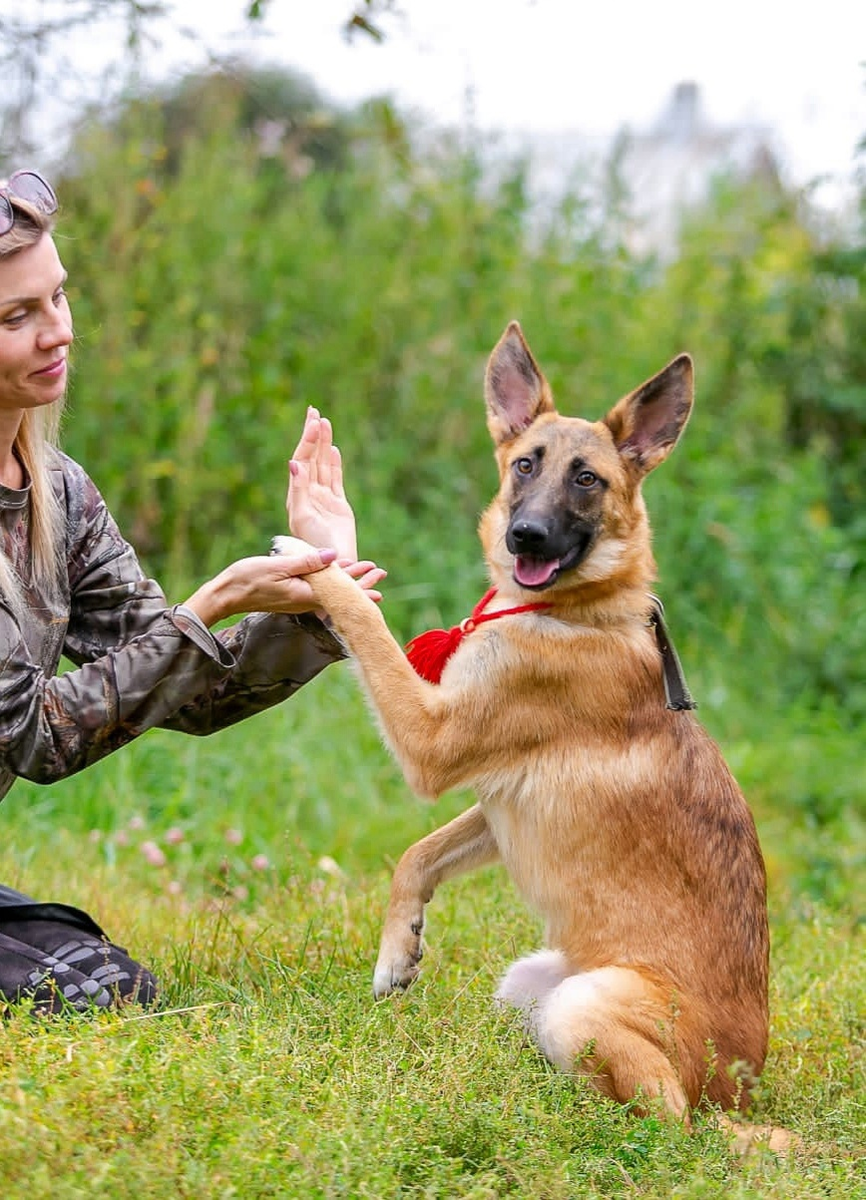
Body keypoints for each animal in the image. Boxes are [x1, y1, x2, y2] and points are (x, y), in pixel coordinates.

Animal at [274, 321, 762, 1123]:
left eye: (587, 479)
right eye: (526, 464)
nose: (524, 536)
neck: (579, 608)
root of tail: (737, 1093)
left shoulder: (432, 740)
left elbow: (364, 622)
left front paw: (318, 564)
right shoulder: (498, 794)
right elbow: (417, 856)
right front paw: (398, 950)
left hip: (584, 1011)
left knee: (660, 1117)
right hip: (528, 981)